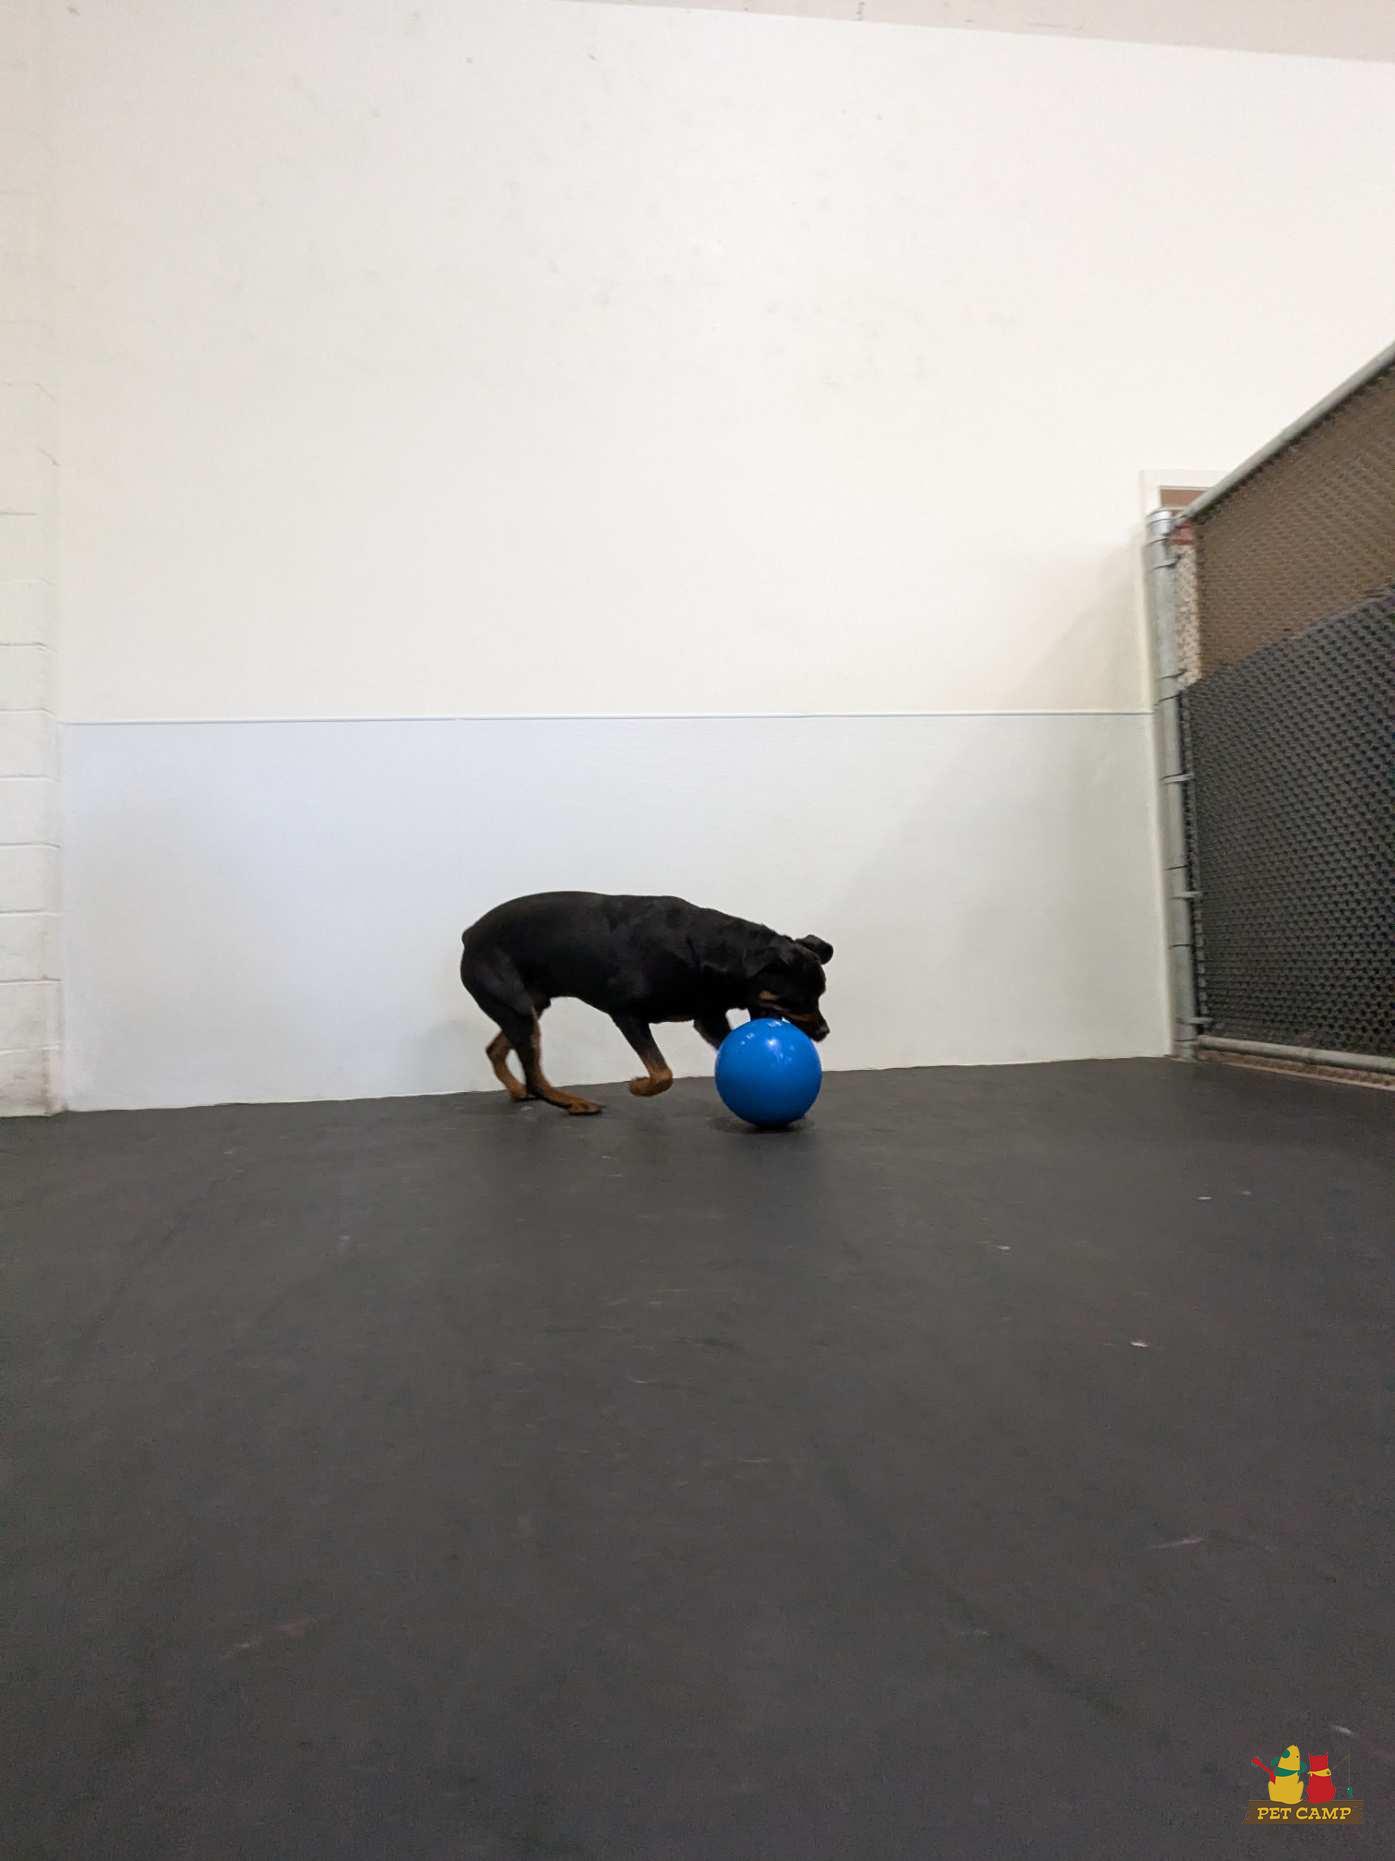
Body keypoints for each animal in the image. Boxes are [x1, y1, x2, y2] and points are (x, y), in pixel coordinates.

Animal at [460, 891, 832, 1115]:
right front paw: (640, 1087)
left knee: (496, 1050)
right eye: (798, 1000)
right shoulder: (627, 1014)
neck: (713, 953)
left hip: (529, 1006)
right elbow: (663, 1072)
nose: (825, 1032)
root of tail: (469, 935)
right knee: (535, 1077)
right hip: (518, 1010)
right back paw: (571, 1101)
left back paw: (517, 1089)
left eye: (820, 996)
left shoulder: (709, 1017)